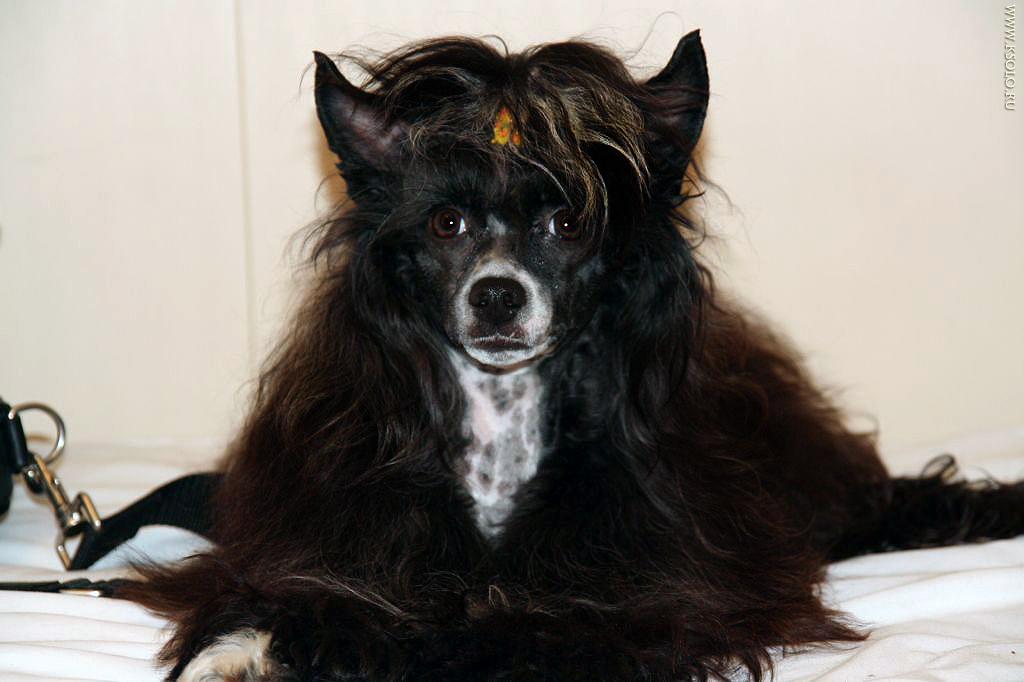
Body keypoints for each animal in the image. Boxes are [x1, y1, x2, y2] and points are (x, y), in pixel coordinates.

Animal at [125, 31, 1024, 680]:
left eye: (568, 224)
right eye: (446, 223)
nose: (496, 296)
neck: (501, 425)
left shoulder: (652, 602)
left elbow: (515, 635)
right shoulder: (329, 551)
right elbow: (293, 603)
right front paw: (249, 649)